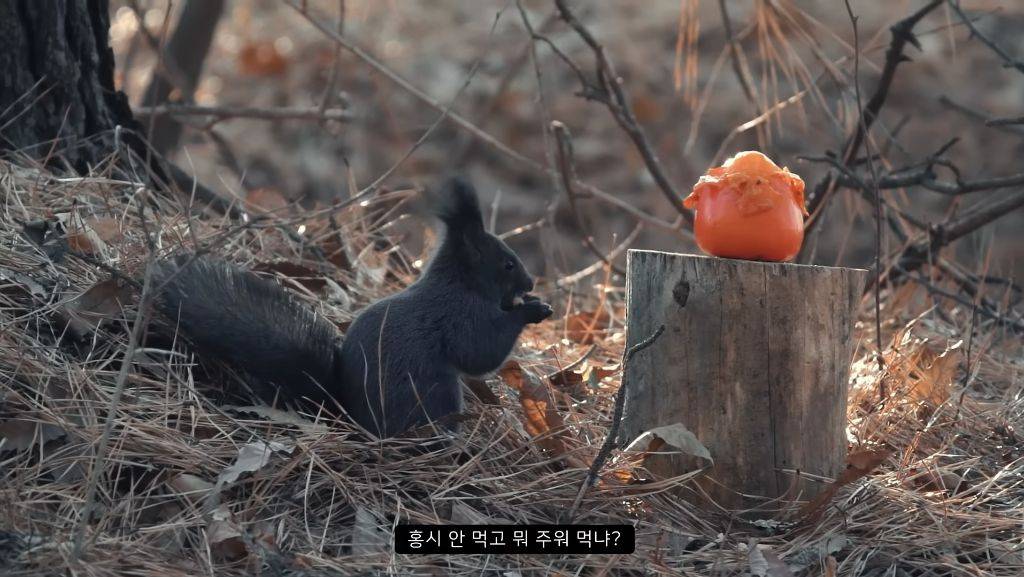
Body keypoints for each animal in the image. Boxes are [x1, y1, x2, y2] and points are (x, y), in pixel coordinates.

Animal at [153, 176, 552, 438]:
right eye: (508, 264)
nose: (530, 284)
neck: (460, 283)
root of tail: (351, 416)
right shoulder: (458, 316)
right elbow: (479, 352)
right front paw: (530, 311)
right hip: (435, 394)